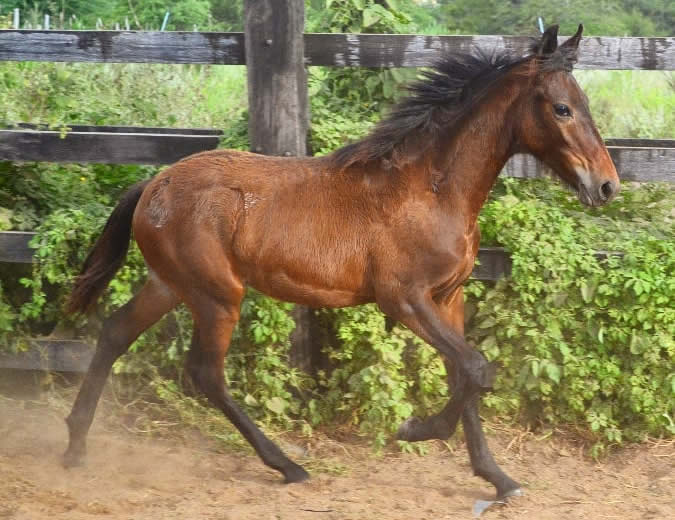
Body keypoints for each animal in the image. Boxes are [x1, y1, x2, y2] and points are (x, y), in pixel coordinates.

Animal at [63, 25, 616, 500]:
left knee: (114, 333)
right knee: (205, 373)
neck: (430, 189)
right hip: (216, 294)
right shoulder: (404, 299)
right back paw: (287, 465)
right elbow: (477, 369)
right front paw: (415, 429)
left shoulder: (448, 298)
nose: (607, 185)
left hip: (170, 284)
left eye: (586, 104)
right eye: (562, 108)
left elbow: (467, 374)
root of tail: (153, 184)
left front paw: (498, 479)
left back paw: (75, 444)